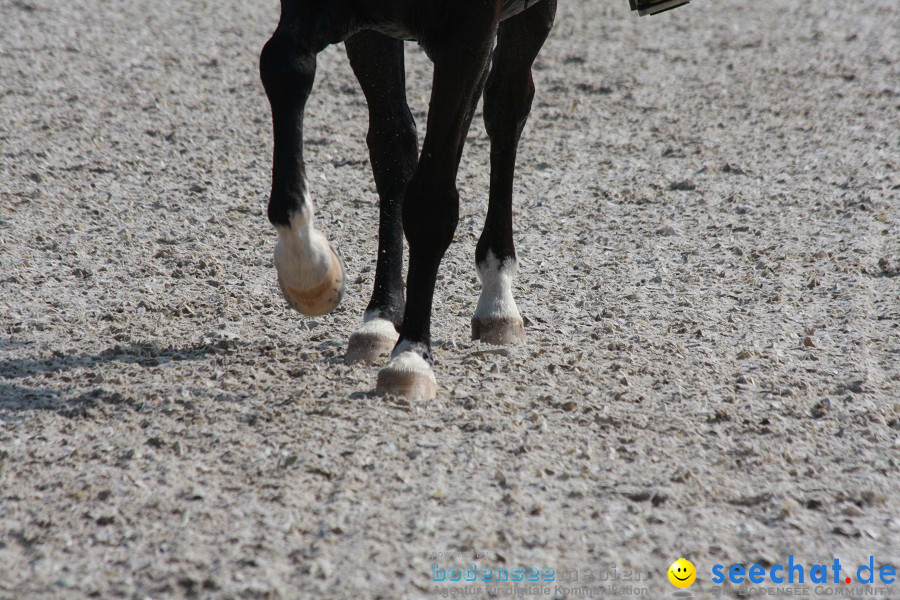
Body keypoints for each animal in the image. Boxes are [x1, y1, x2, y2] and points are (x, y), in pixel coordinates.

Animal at [256, 1, 680, 404]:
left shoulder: (469, 36)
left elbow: (431, 201)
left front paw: (410, 356)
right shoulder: (358, 25)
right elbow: (289, 67)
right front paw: (310, 270)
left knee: (507, 108)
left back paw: (497, 296)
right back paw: (380, 316)